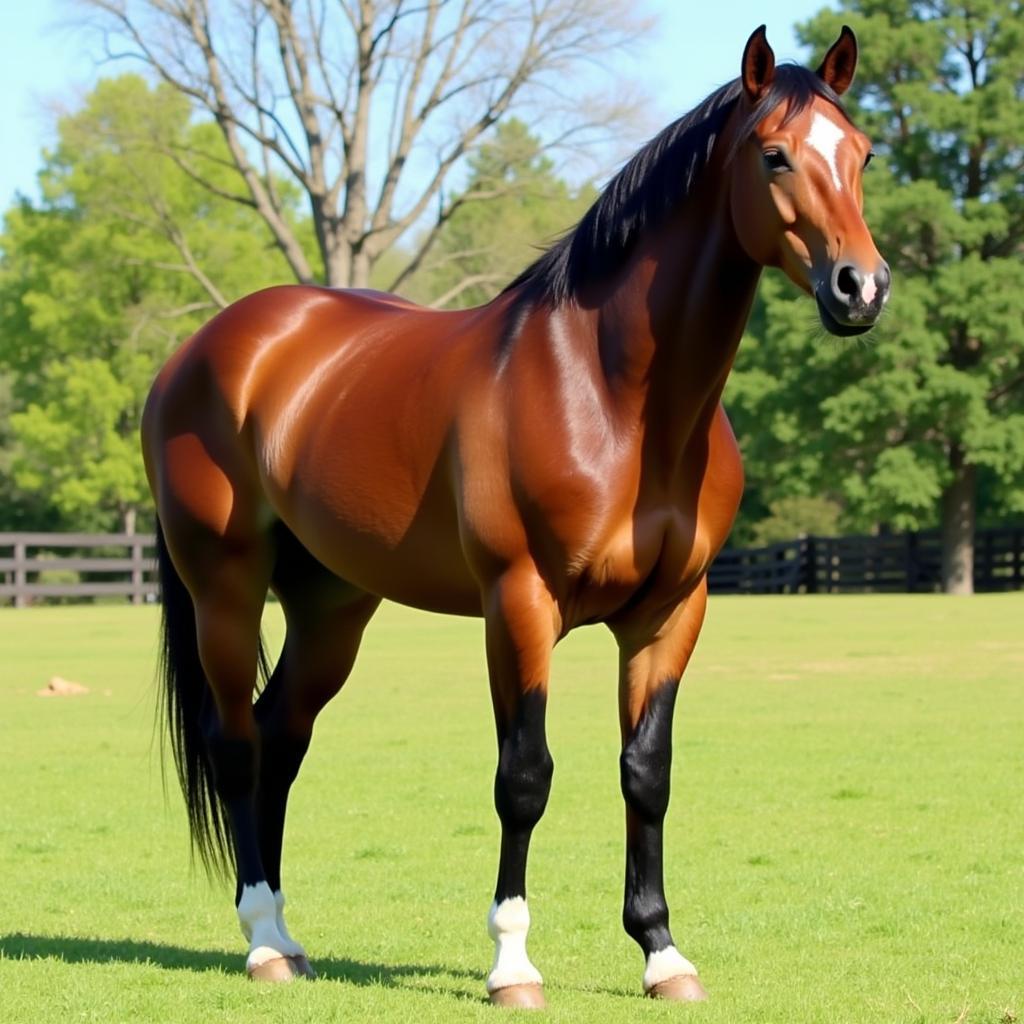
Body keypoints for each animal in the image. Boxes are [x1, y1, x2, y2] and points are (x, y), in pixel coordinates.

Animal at [142, 24, 888, 1007]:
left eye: (863, 155)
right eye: (774, 155)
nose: (860, 288)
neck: (615, 396)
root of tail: (204, 348)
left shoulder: (670, 613)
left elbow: (647, 773)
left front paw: (663, 954)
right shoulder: (520, 603)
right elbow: (524, 777)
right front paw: (512, 966)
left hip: (331, 606)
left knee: (281, 738)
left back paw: (291, 939)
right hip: (224, 590)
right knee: (235, 743)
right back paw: (263, 943)